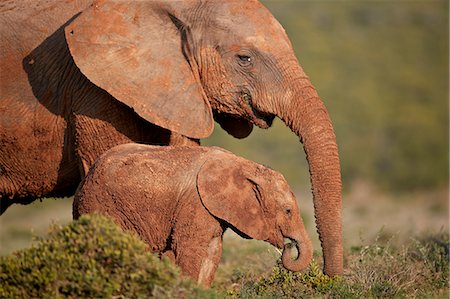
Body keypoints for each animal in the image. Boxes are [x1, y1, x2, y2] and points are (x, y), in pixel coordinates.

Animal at [74, 144, 312, 288]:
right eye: (288, 211)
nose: (288, 246)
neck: (245, 165)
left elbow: (213, 252)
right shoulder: (196, 203)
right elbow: (189, 250)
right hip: (101, 205)